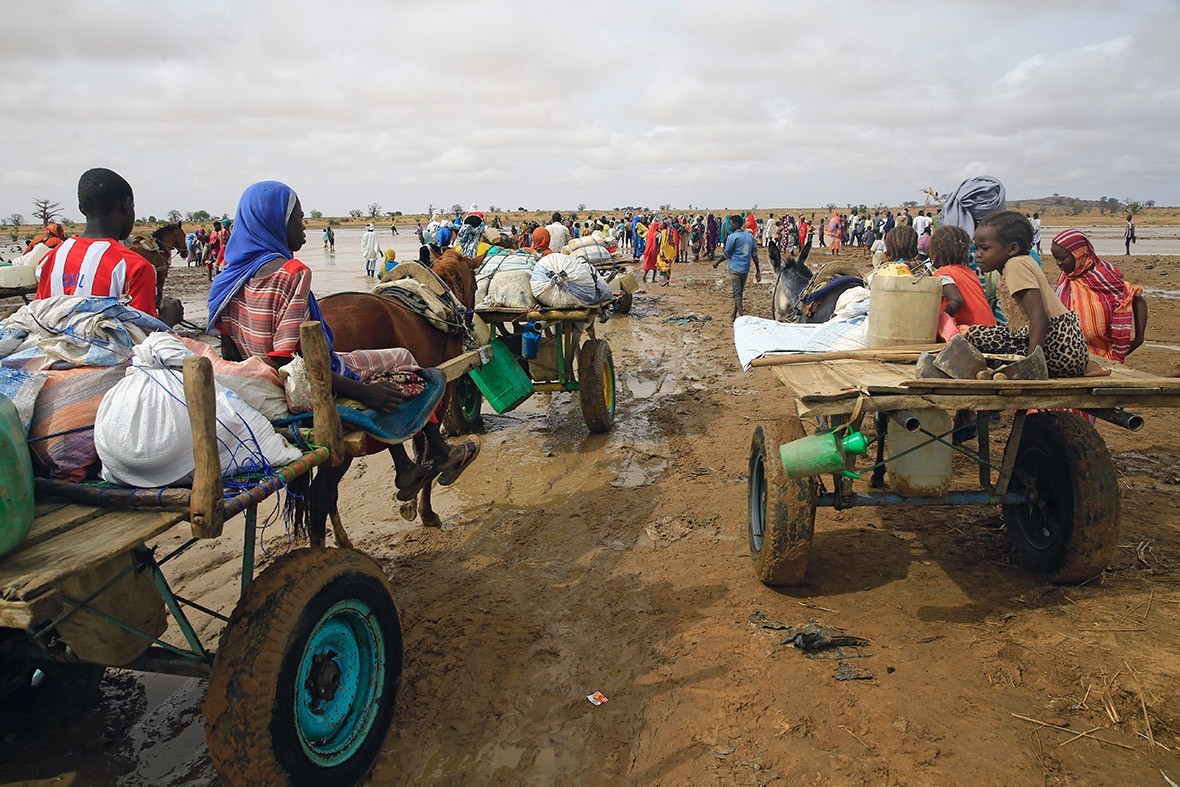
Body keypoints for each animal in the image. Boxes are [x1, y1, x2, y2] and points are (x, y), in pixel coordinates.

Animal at [318, 246, 483, 528]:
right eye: (475, 283)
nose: (469, 321)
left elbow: (417, 442)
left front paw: (413, 502)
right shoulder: (446, 385)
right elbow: (425, 446)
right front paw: (427, 508)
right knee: (322, 495)